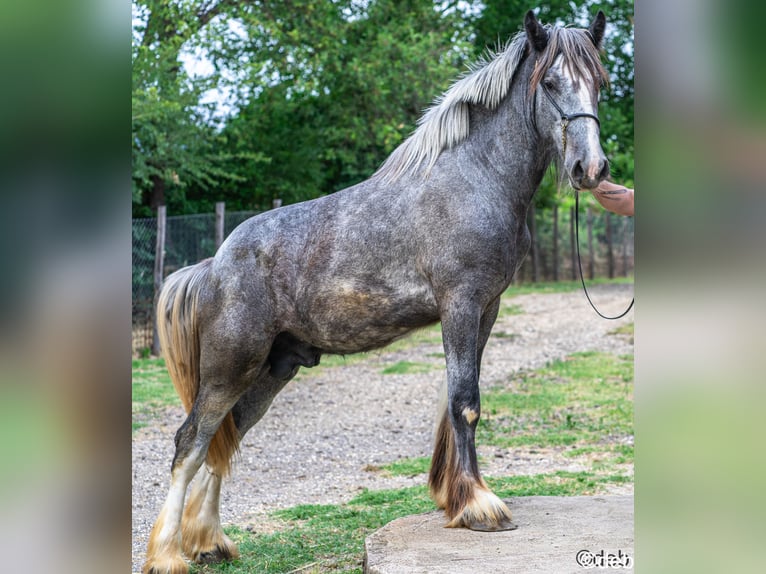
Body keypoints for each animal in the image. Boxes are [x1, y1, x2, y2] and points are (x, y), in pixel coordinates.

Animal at [142, 10, 612, 574]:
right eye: (549, 82)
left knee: (225, 436)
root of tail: (215, 263)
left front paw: (455, 498)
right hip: (230, 365)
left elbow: (456, 401)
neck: (476, 179)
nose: (591, 169)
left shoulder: (486, 310)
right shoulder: (461, 303)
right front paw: (480, 506)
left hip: (273, 368)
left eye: (600, 83)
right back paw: (167, 555)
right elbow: (465, 402)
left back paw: (209, 542)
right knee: (192, 441)